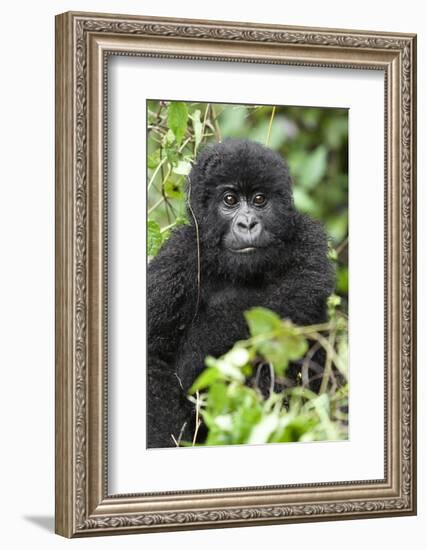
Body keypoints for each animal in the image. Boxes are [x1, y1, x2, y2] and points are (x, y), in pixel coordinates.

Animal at [149, 138, 336, 448]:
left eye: (259, 199)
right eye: (230, 200)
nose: (247, 224)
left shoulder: (308, 243)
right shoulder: (176, 259)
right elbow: (154, 355)